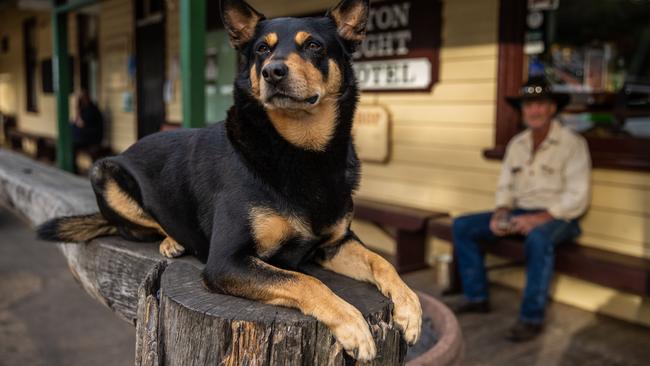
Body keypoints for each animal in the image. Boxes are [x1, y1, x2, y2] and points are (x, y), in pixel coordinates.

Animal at [36, 0, 420, 360]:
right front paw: (353, 325)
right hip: (105, 172)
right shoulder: (226, 261)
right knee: (143, 224)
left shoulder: (334, 244)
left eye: (313, 45)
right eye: (262, 49)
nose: (272, 71)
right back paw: (171, 241)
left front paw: (410, 307)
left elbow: (381, 262)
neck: (302, 150)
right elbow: (306, 280)